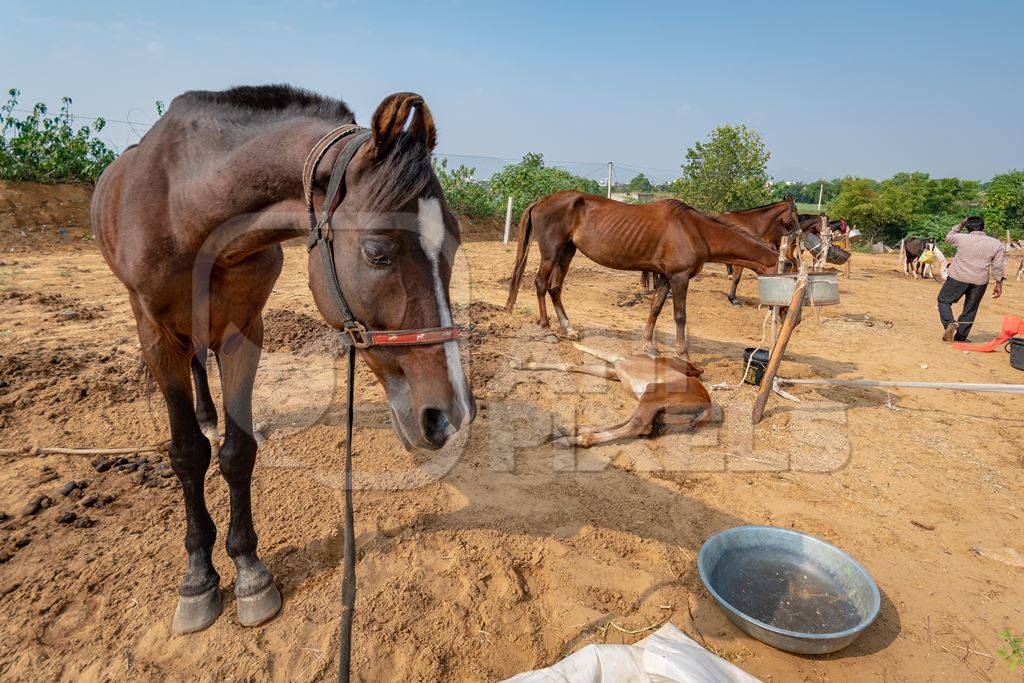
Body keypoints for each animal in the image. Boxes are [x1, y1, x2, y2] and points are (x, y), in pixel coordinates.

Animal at [90, 83, 473, 634]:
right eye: (377, 251)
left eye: (456, 243)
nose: (451, 415)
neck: (185, 204)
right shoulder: (156, 335)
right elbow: (187, 454)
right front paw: (198, 578)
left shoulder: (243, 330)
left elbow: (237, 452)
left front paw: (249, 572)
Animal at [503, 189, 774, 356]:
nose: (778, 310)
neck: (695, 230)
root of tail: (541, 201)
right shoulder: (679, 277)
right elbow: (680, 316)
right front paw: (683, 353)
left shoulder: (665, 277)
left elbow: (655, 308)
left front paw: (649, 344)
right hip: (550, 254)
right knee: (540, 284)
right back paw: (547, 330)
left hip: (567, 252)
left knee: (555, 288)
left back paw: (569, 329)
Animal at [512, 342, 712, 448]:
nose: (699, 369)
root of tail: (707, 407)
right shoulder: (614, 371)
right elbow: (570, 365)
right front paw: (523, 364)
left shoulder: (617, 358)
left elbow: (597, 351)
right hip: (653, 405)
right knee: (635, 422)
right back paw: (571, 430)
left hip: (653, 393)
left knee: (637, 426)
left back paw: (573, 439)